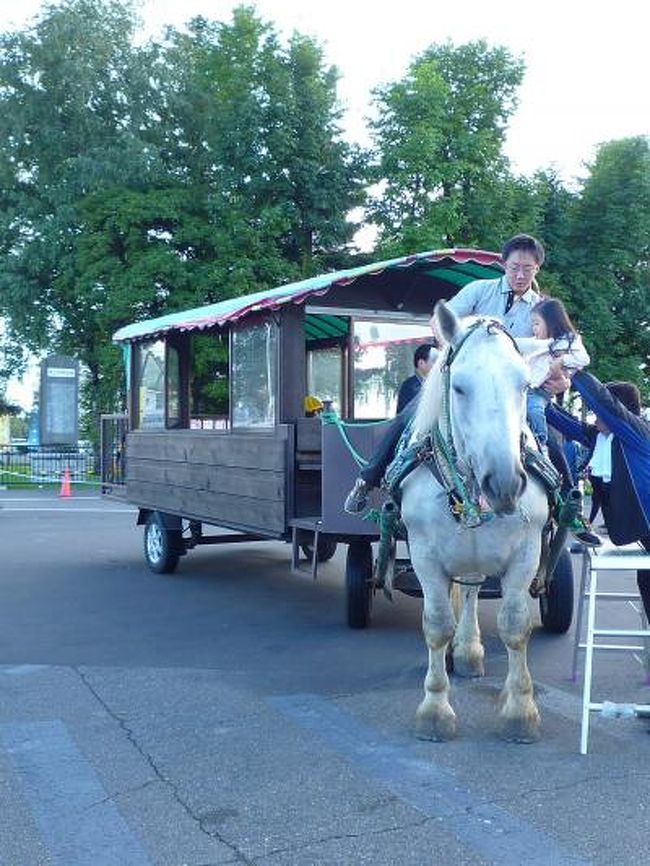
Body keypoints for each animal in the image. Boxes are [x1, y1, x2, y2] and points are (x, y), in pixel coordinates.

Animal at [400, 300, 548, 740]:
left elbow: (515, 627)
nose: (504, 483)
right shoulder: (425, 556)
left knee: (471, 590)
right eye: (460, 387)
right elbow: (436, 625)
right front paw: (435, 709)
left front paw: (520, 709)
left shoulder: (527, 553)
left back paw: (468, 651)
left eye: (524, 385)